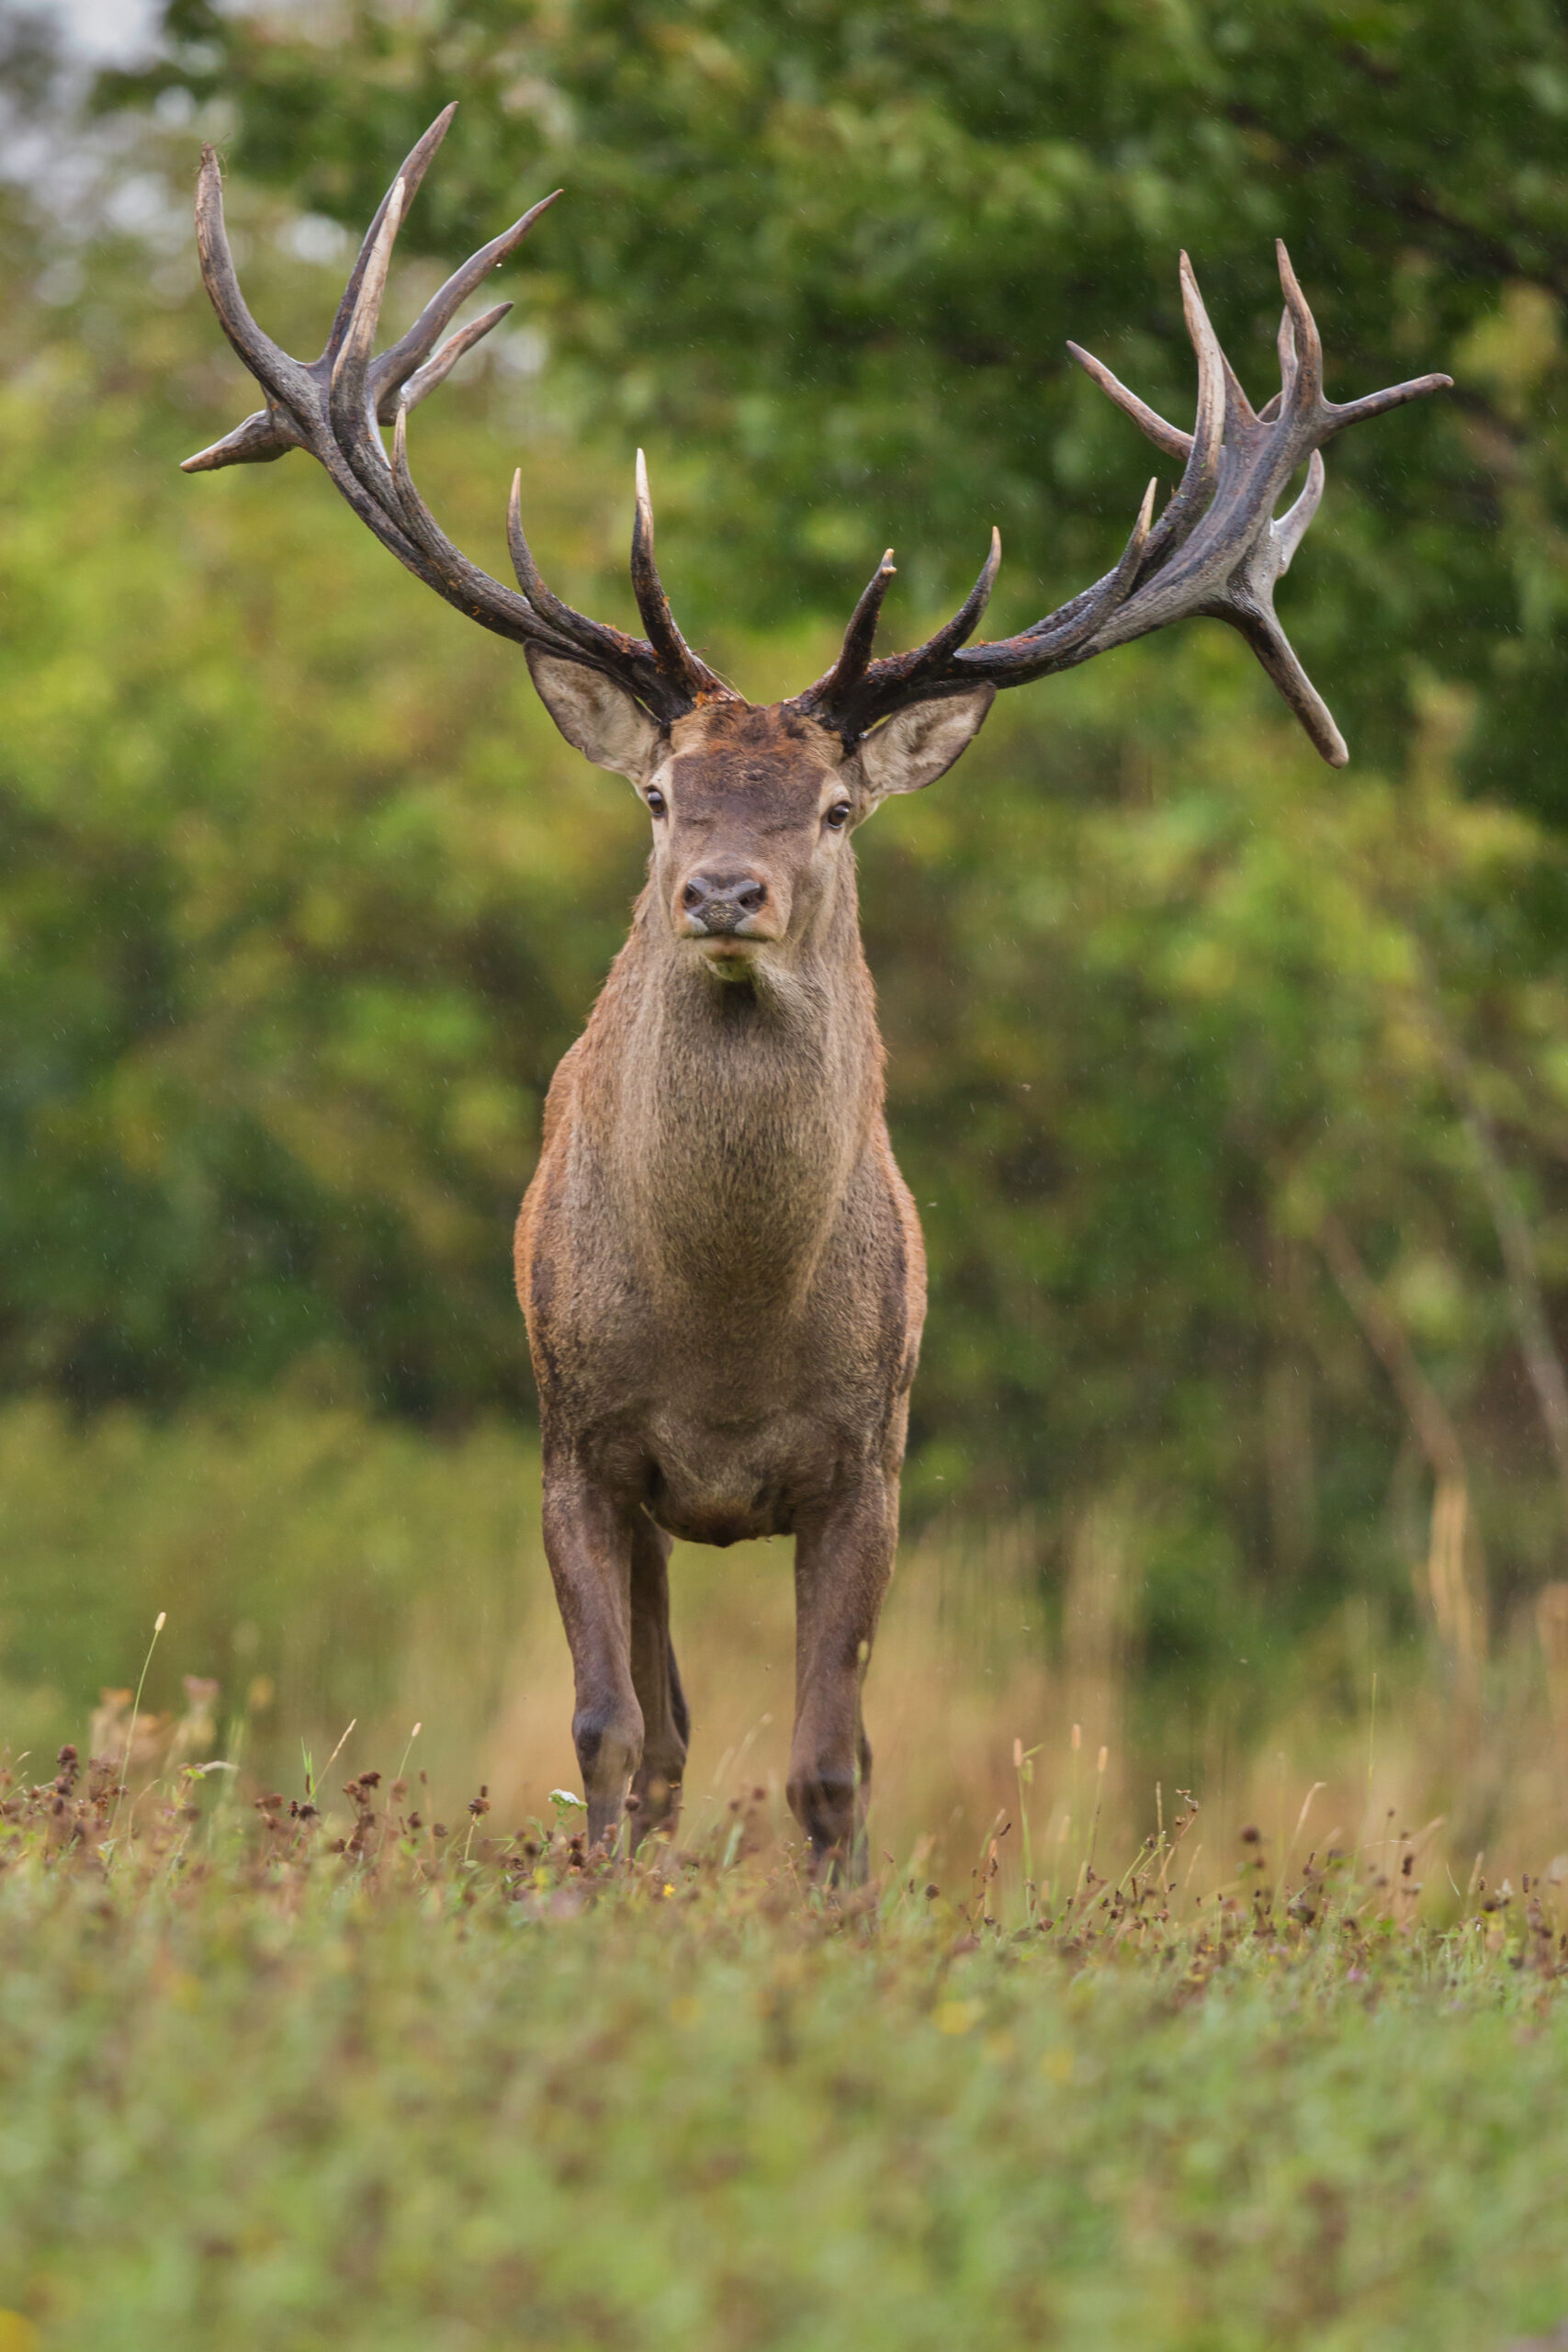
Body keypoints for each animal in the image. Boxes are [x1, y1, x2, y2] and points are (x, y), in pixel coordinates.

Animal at [185, 106, 1448, 1872]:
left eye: (836, 809)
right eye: (661, 795)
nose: (724, 892)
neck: (729, 1338)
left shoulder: (873, 1459)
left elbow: (831, 1760)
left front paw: (836, 1919)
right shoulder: (576, 1442)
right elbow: (611, 1729)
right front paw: (587, 1905)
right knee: (655, 1733)